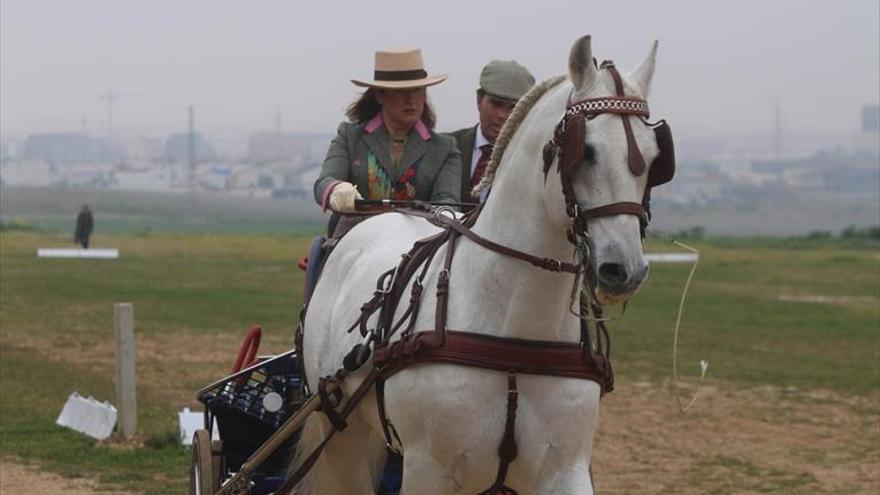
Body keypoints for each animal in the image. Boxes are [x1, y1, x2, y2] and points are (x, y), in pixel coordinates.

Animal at [294, 35, 660, 495]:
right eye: (587, 150)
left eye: (655, 156)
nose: (623, 269)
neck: (518, 336)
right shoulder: (428, 471)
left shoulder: (565, 470)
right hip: (341, 433)